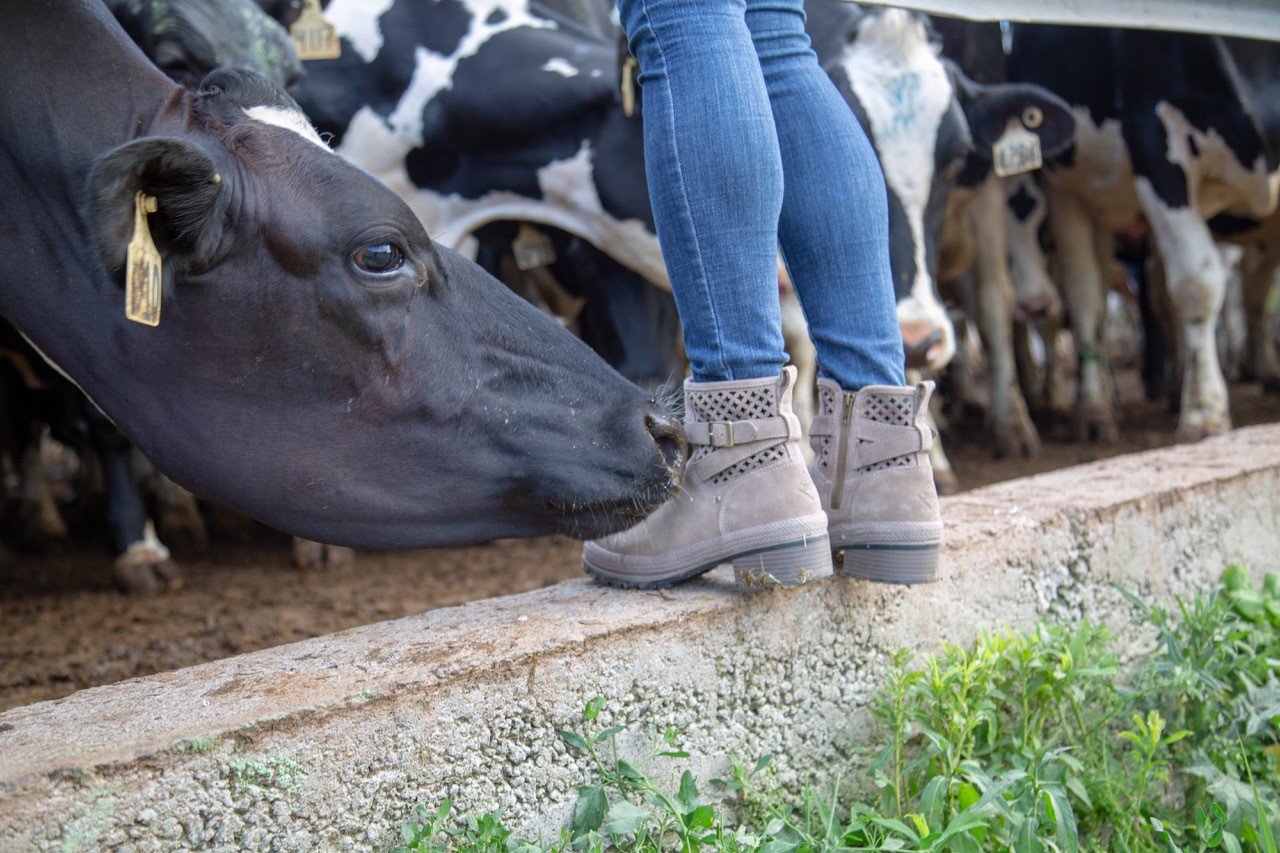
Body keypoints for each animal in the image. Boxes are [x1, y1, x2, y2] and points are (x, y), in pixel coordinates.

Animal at [1008, 24, 1280, 440]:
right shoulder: (1154, 141)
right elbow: (1195, 287)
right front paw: (1203, 410)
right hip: (1068, 193)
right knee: (1086, 298)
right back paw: (1095, 409)